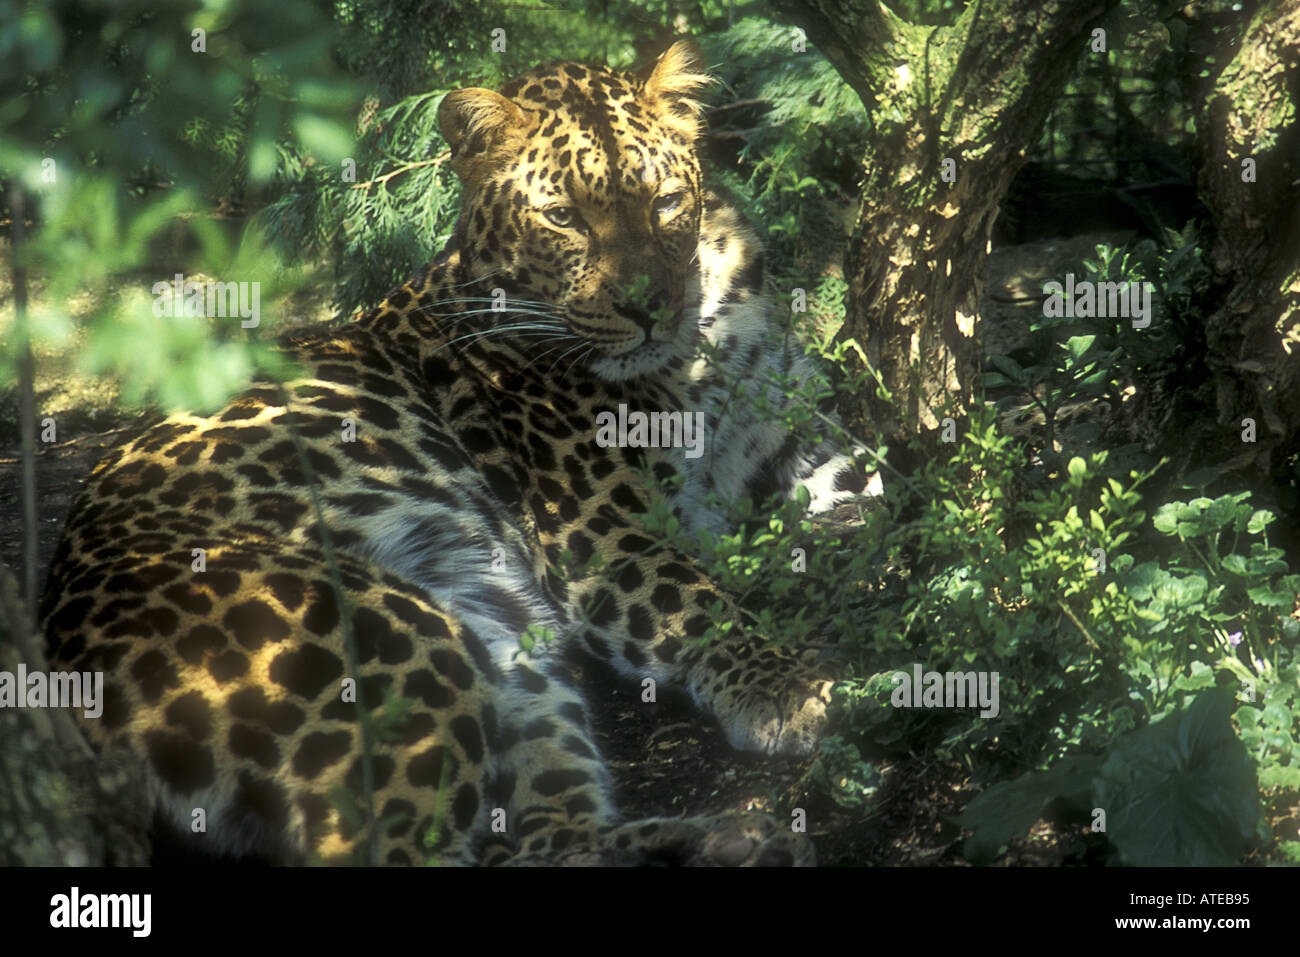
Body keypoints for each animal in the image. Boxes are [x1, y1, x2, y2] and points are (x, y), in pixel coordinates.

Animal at [40, 40, 876, 866]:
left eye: (666, 202)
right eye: (564, 219)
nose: (645, 306)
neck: (702, 345)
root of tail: (60, 668)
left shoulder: (806, 449)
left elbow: (881, 487)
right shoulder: (600, 528)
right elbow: (696, 599)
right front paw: (788, 686)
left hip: (505, 639)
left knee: (545, 839)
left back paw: (720, 841)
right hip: (381, 634)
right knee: (392, 847)